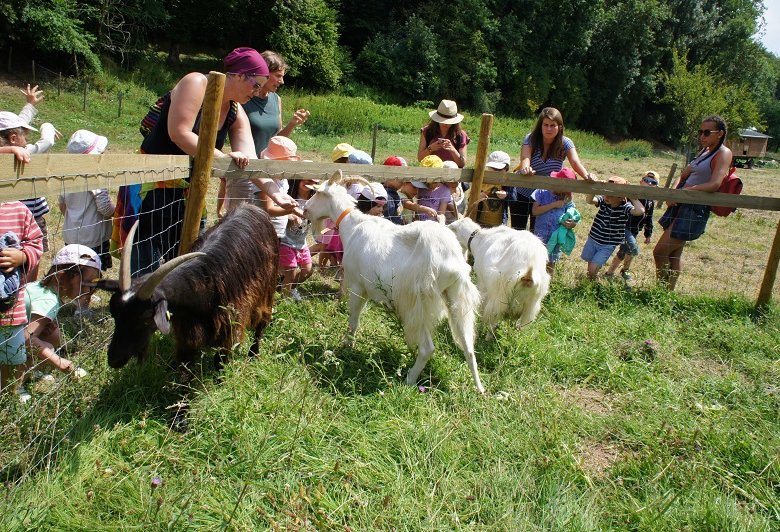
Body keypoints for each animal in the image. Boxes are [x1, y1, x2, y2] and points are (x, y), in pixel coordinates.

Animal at [308, 172, 484, 392]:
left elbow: (353, 321)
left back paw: (408, 381)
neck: (353, 225)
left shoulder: (358, 286)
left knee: (427, 348)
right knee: (469, 347)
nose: (305, 209)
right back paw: (480, 388)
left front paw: (347, 346)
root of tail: (454, 264)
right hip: (456, 298)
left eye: (316, 193)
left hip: (419, 303)